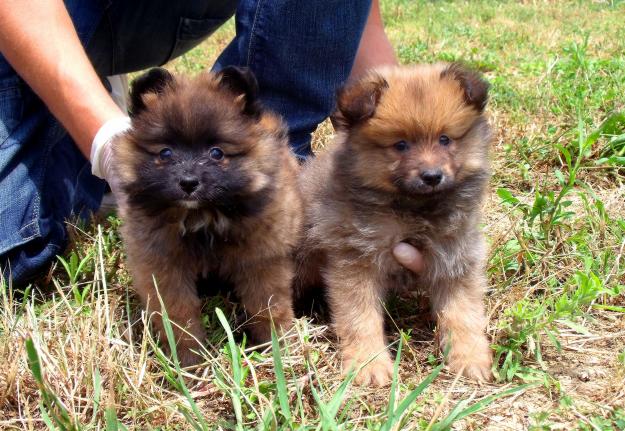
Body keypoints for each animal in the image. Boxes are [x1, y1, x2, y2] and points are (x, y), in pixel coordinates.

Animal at [116, 67, 304, 368]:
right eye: (165, 153)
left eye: (217, 153)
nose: (188, 182)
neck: (202, 218)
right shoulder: (163, 267)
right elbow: (178, 315)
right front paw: (188, 358)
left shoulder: (262, 260)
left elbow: (267, 305)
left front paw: (278, 345)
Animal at [298, 62, 492, 386]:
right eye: (401, 145)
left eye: (445, 139)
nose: (432, 176)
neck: (413, 211)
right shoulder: (355, 258)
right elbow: (360, 317)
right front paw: (368, 364)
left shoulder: (456, 255)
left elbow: (463, 313)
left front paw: (470, 357)